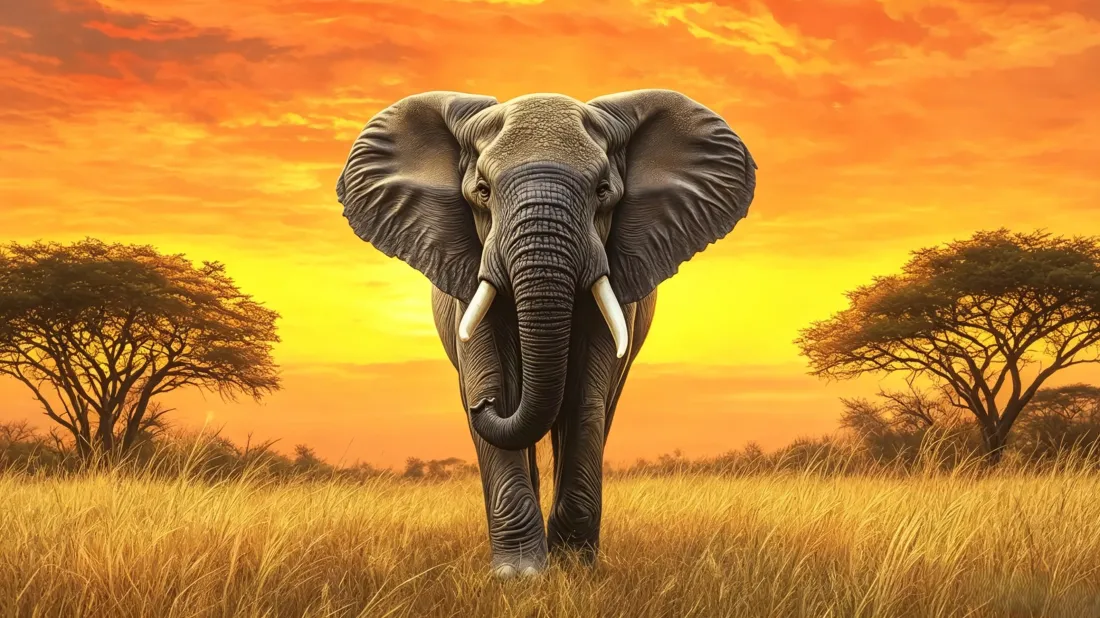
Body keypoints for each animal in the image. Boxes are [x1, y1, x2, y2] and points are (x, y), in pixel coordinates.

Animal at [335, 89, 757, 578]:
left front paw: (574, 570)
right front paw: (520, 576)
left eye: (603, 192)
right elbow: (494, 378)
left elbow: (585, 398)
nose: (481, 405)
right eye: (483, 192)